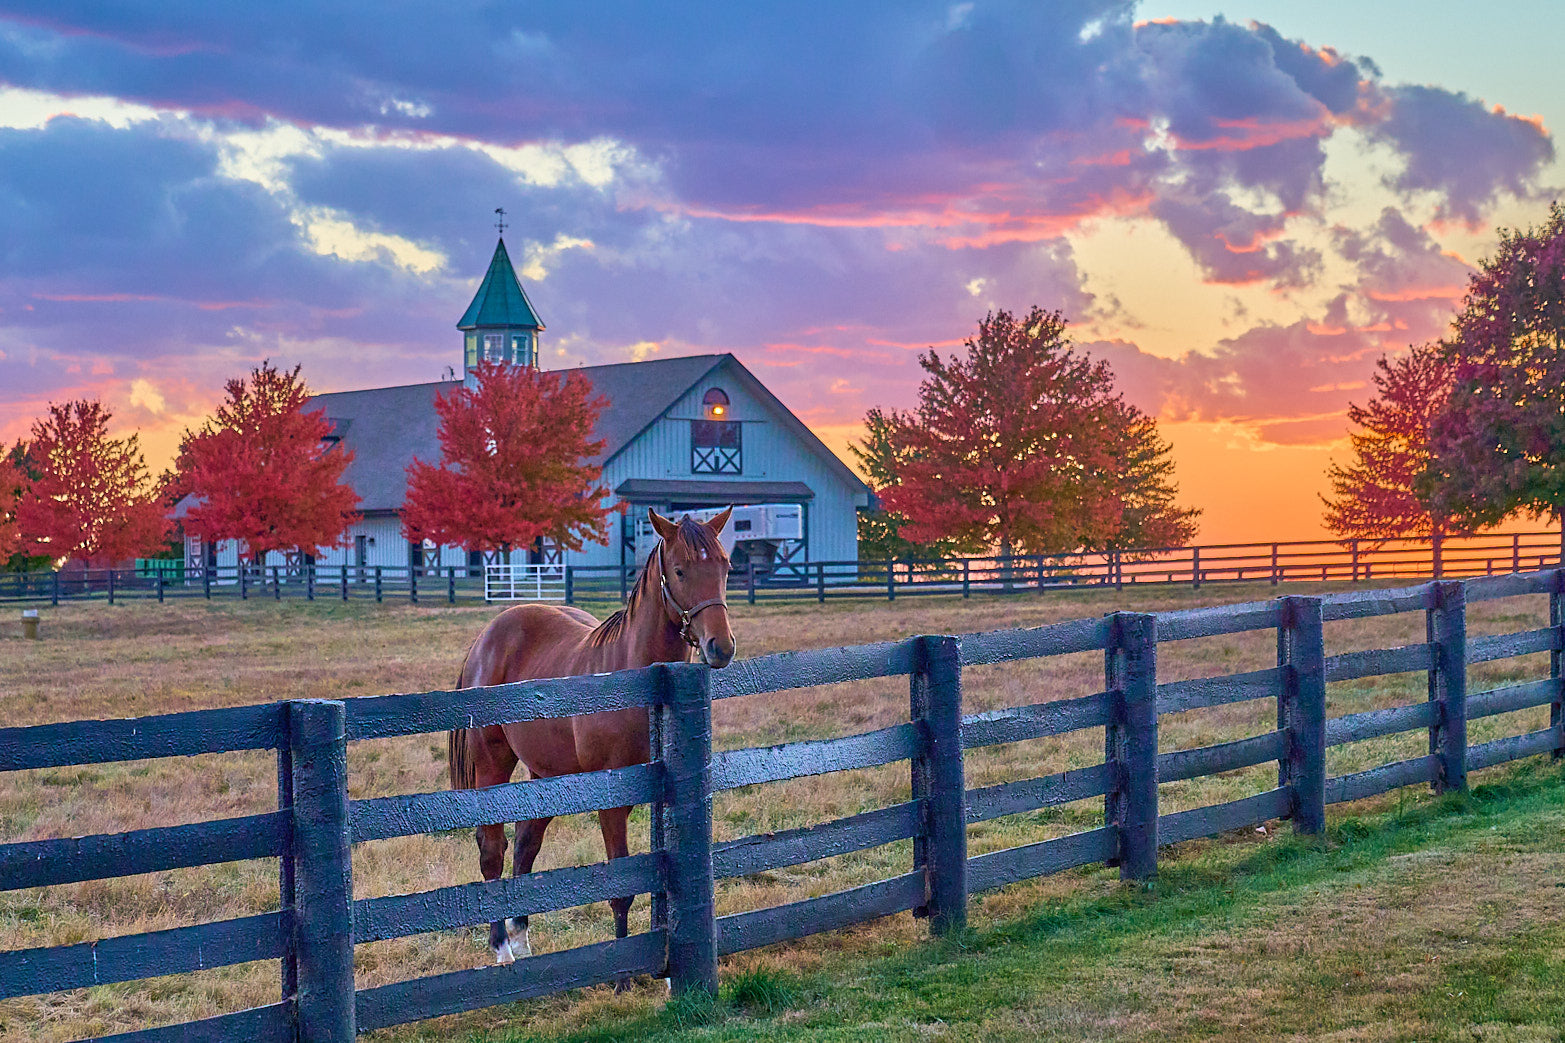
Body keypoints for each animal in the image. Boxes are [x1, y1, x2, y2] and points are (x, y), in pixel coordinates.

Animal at [447, 507, 736, 967]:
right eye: (680, 570)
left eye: (725, 567)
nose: (720, 647)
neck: (635, 677)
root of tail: (488, 636)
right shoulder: (612, 803)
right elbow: (621, 888)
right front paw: (623, 973)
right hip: (492, 763)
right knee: (492, 849)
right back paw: (502, 949)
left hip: (547, 771)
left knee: (526, 844)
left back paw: (521, 938)